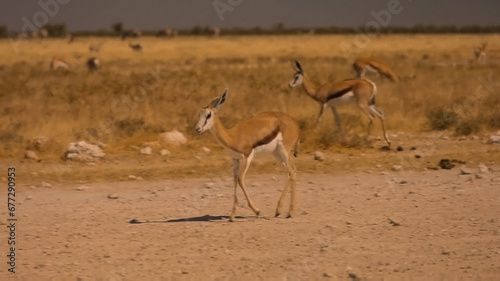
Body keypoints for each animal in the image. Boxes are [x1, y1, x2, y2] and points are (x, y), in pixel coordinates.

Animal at [195, 88, 298, 220]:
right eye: (199, 114)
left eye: (208, 115)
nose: (197, 129)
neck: (232, 136)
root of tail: (294, 122)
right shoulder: (235, 159)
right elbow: (234, 180)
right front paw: (232, 214)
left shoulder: (247, 157)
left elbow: (240, 179)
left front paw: (257, 211)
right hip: (278, 154)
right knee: (293, 171)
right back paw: (289, 212)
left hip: (283, 152)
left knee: (291, 171)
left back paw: (280, 211)